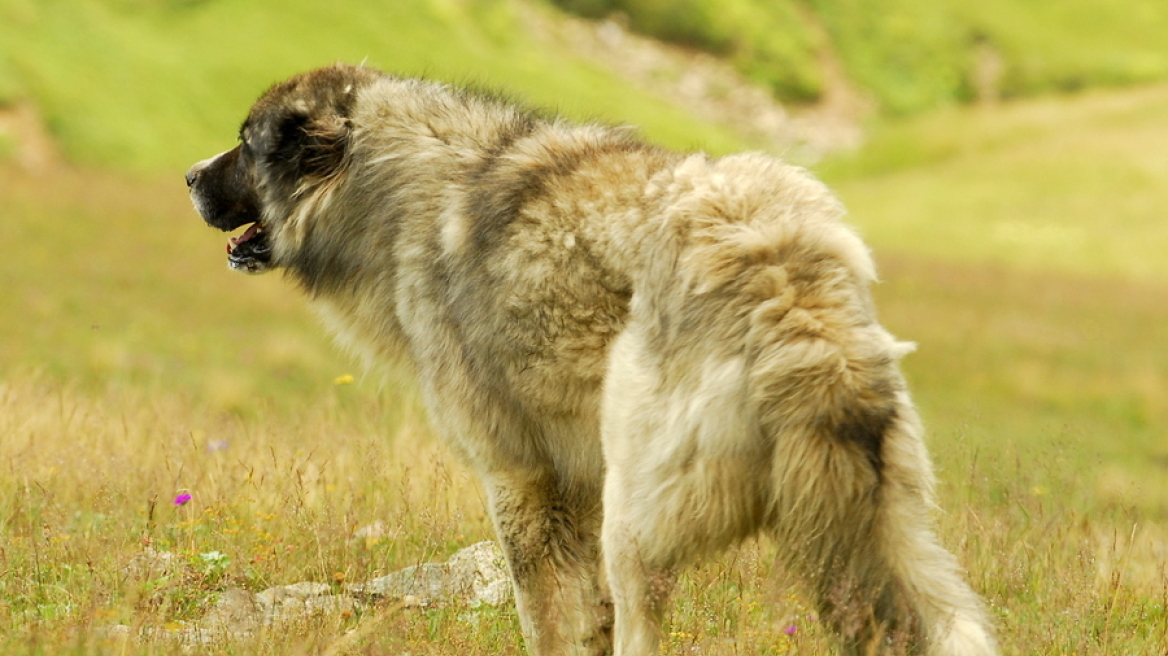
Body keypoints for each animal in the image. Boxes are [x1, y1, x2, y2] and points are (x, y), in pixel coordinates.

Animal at [186, 62, 999, 653]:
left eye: (246, 145)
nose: (189, 176)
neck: (398, 185)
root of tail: (784, 278)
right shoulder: (573, 484)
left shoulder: (519, 478)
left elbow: (547, 617)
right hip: (886, 526)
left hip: (636, 512)